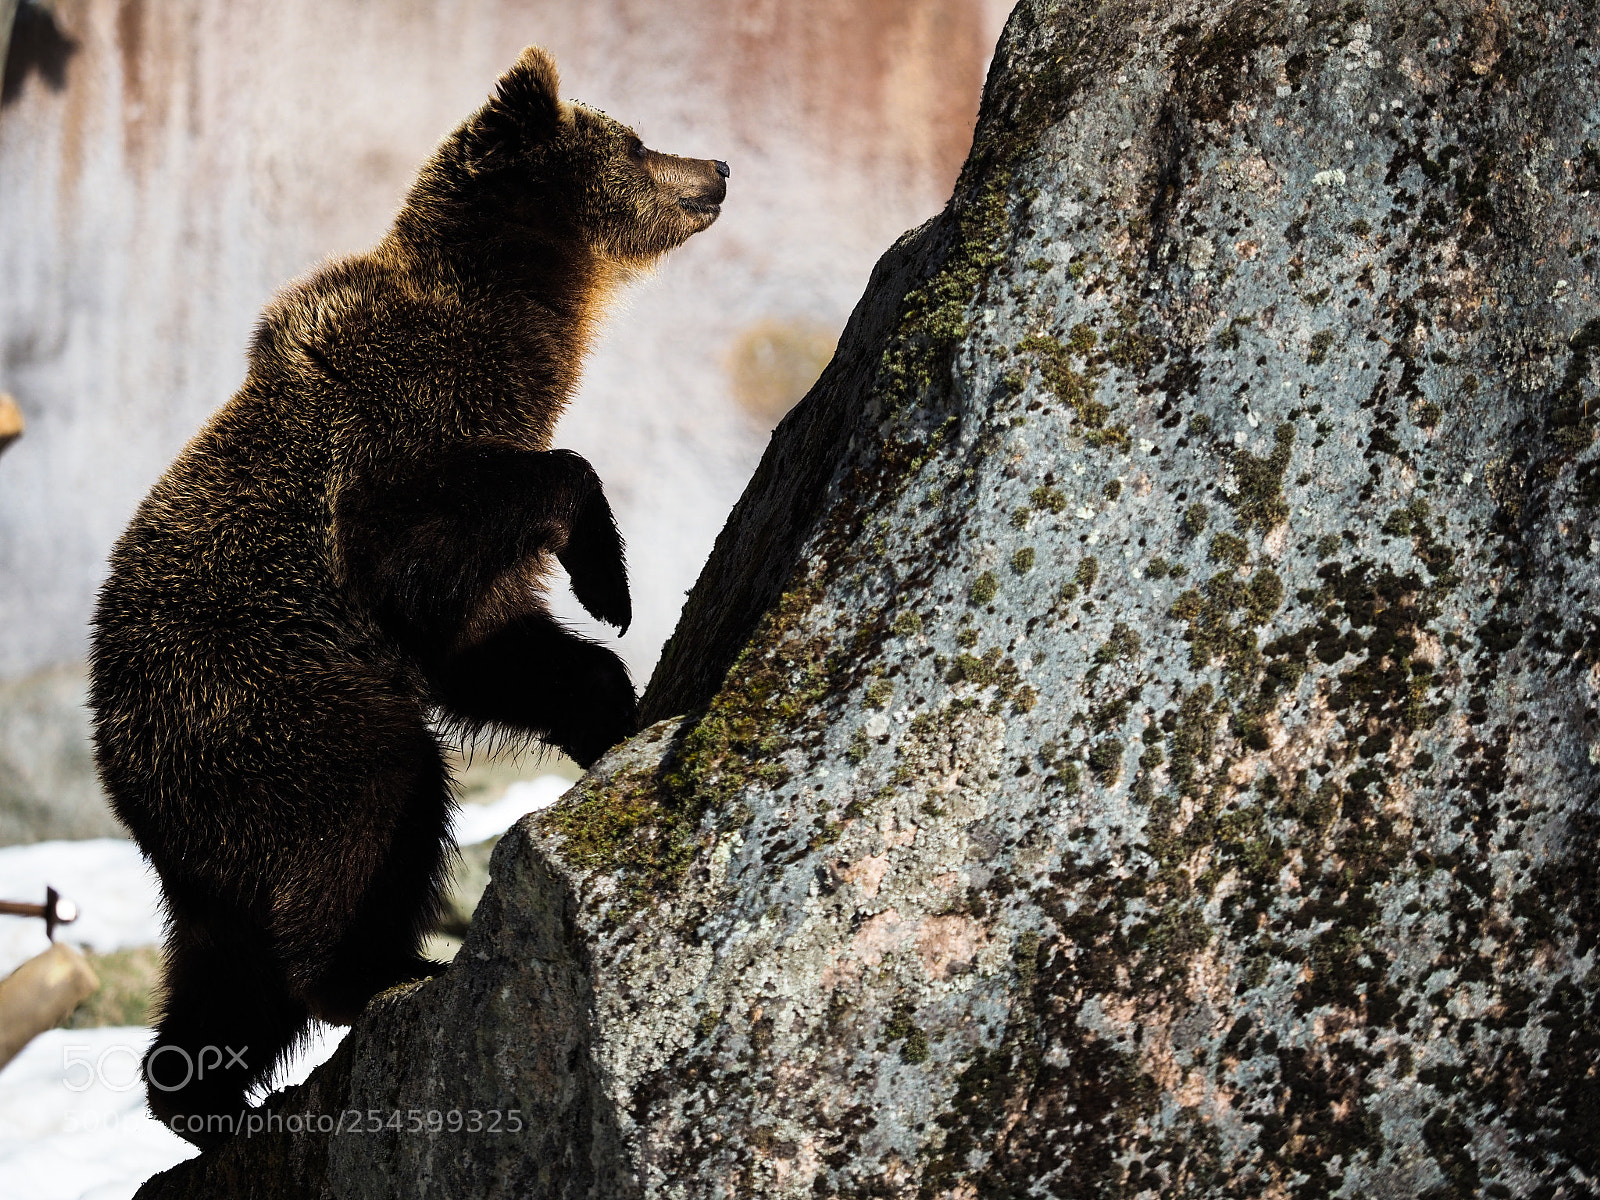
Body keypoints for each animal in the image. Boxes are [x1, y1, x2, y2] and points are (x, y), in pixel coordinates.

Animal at [86, 45, 727, 1148]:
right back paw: (386, 971)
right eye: (638, 141)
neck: (519, 322)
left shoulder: (459, 568)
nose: (719, 167)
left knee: (224, 961)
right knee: (375, 805)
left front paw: (610, 706)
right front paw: (609, 579)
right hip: (278, 709)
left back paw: (199, 1093)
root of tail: (116, 754)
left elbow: (504, 649)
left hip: (213, 826)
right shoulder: (388, 452)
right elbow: (451, 538)